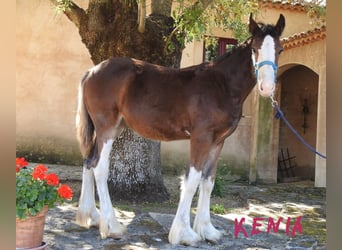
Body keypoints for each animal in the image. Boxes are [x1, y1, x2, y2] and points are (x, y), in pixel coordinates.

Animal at [75, 14, 286, 246]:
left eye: (280, 49)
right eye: (255, 48)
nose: (267, 87)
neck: (221, 85)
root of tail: (92, 71)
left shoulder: (218, 142)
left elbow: (208, 181)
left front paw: (207, 230)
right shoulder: (201, 138)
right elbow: (192, 181)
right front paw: (184, 233)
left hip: (110, 129)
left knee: (88, 161)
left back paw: (91, 217)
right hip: (107, 128)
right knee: (99, 167)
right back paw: (112, 226)